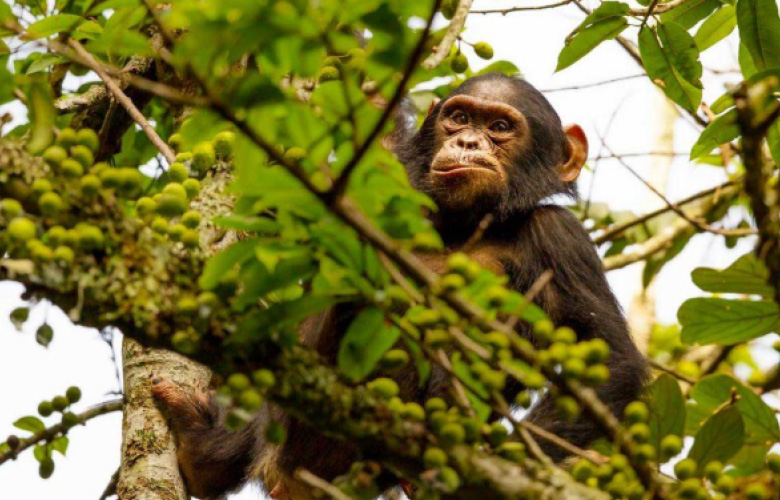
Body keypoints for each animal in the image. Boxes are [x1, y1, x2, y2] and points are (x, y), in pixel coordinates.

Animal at [151, 73, 649, 500]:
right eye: (459, 117)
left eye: (501, 127)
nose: (467, 142)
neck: (464, 223)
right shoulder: (388, 169)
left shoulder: (562, 239)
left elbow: (609, 359)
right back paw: (203, 448)